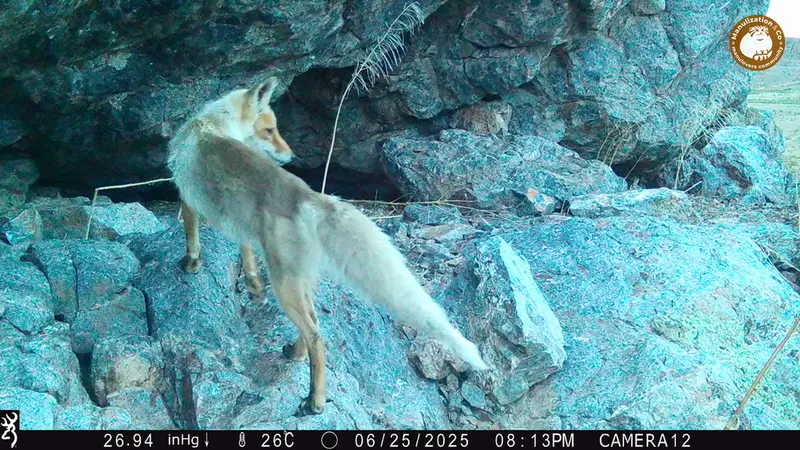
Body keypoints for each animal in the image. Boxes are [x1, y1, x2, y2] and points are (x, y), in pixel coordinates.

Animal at [166, 76, 489, 415]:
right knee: (314, 323)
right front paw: (252, 284)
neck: (213, 126)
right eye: (269, 130)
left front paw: (191, 263)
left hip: (285, 284)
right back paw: (295, 354)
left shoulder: (186, 195)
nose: (291, 156)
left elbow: (191, 232)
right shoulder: (239, 221)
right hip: (298, 280)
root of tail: (309, 196)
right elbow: (246, 251)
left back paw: (315, 400)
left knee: (316, 335)